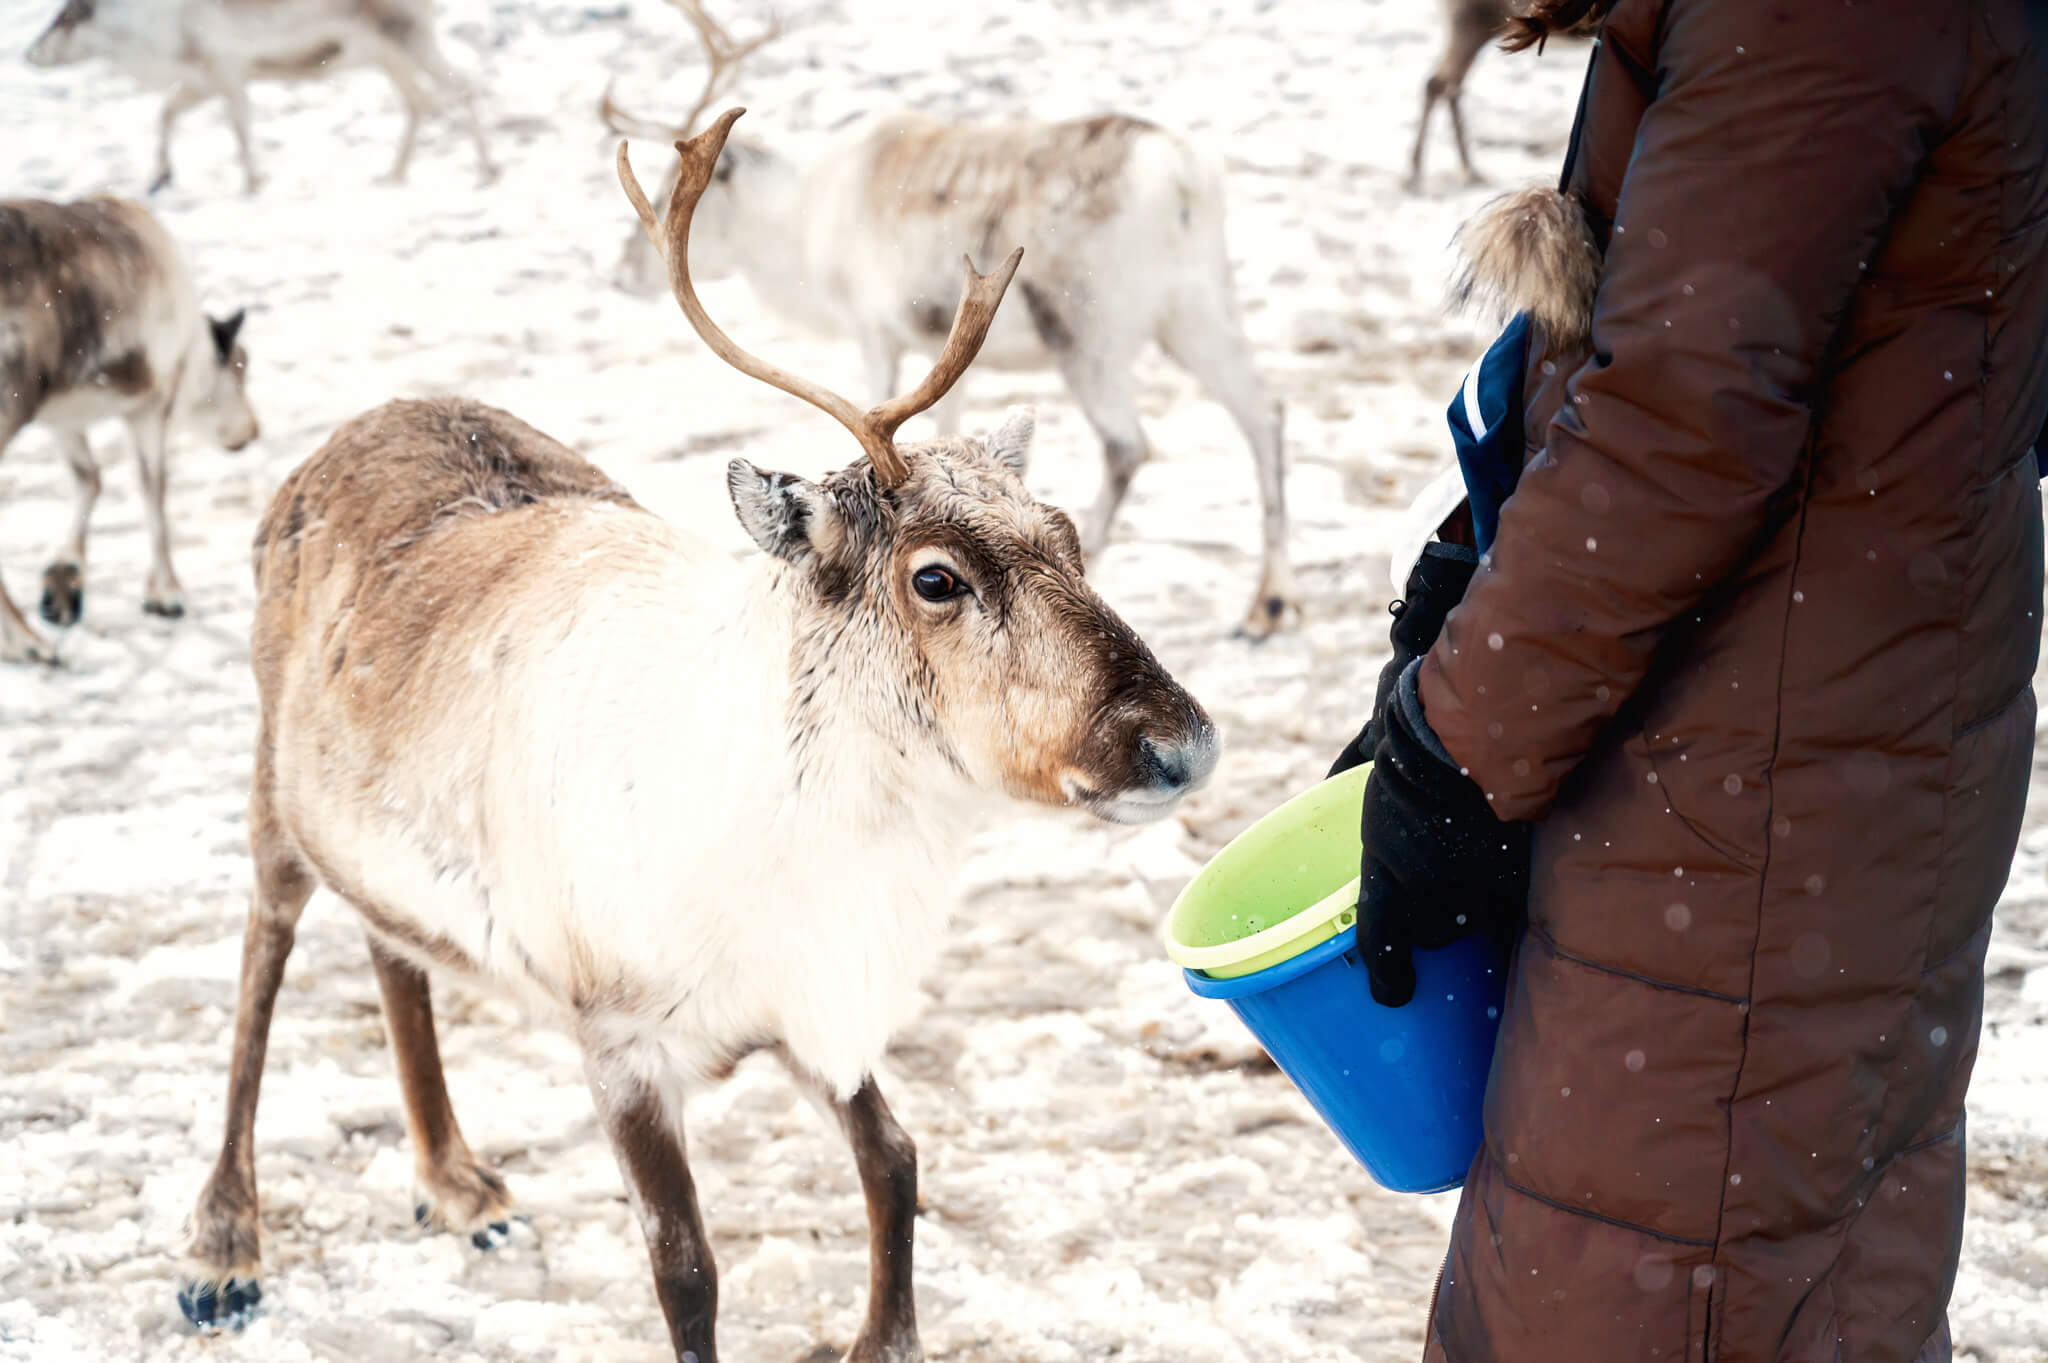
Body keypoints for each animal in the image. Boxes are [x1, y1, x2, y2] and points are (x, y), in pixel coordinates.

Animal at [0, 195, 258, 665]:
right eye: (240, 365)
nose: (250, 431)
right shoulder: (152, 404)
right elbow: (153, 491)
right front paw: (167, 594)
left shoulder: (64, 416)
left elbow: (90, 480)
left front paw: (63, 582)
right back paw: (26, 641)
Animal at [24, 0, 496, 195]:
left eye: (63, 20)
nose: (28, 53)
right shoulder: (203, 81)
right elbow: (166, 114)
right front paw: (161, 177)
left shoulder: (228, 72)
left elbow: (239, 128)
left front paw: (252, 183)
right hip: (386, 57)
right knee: (419, 102)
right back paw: (393, 174)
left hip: (411, 42)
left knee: (462, 87)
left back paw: (487, 171)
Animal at [174, 107, 1218, 1363]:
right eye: (935, 577)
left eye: (1065, 533)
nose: (1178, 743)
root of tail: (345, 433)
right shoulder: (618, 1040)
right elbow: (685, 1268)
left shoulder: (810, 1008)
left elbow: (895, 1164)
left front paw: (883, 1334)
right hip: (270, 796)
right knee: (260, 960)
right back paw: (222, 1246)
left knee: (393, 948)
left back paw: (460, 1186)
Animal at [603, 2, 1296, 638]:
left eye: (667, 189)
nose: (621, 275)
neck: (799, 227)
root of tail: (1181, 174)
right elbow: (948, 431)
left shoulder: (876, 330)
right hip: (1198, 309)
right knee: (1263, 411)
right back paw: (1266, 604)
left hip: (1087, 334)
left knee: (1129, 443)